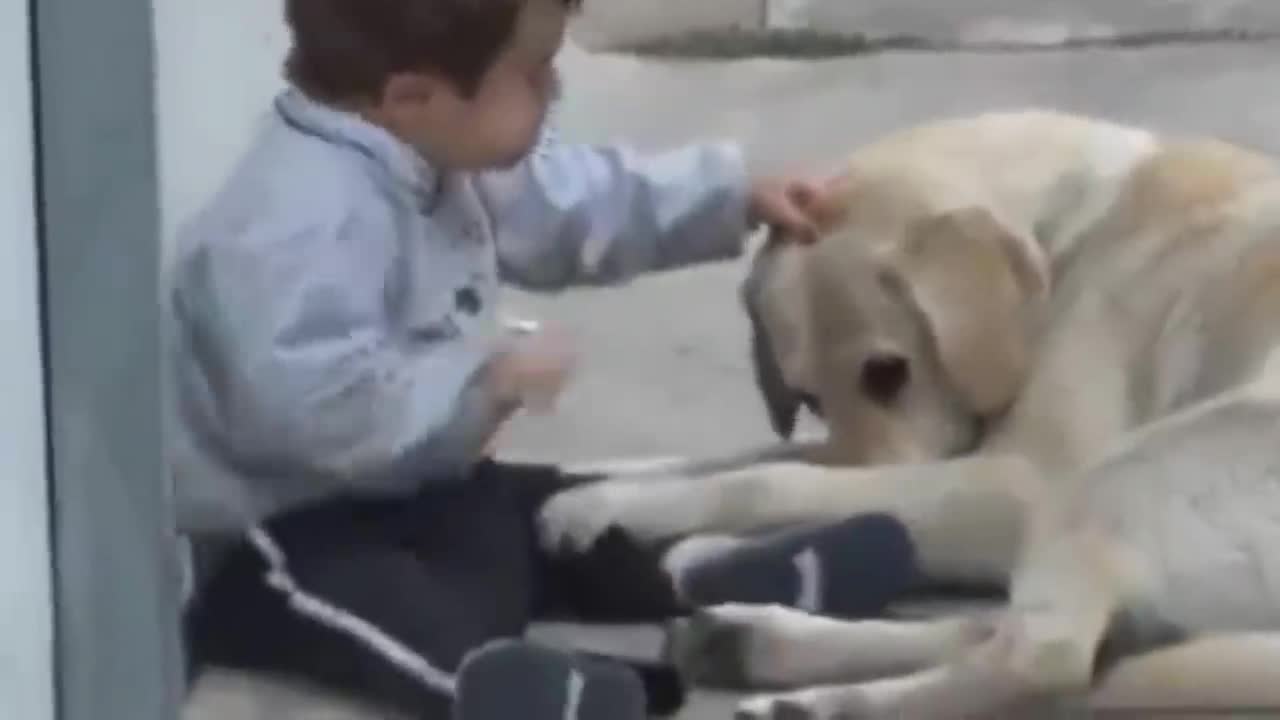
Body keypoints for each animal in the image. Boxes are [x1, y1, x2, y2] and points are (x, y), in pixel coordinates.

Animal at [540, 109, 1280, 712]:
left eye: (888, 372)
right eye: (807, 397)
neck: (1067, 230)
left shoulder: (1020, 478)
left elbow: (774, 477)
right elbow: (759, 455)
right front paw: (595, 490)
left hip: (1123, 475)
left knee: (1049, 658)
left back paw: (820, 697)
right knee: (1026, 635)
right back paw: (746, 633)